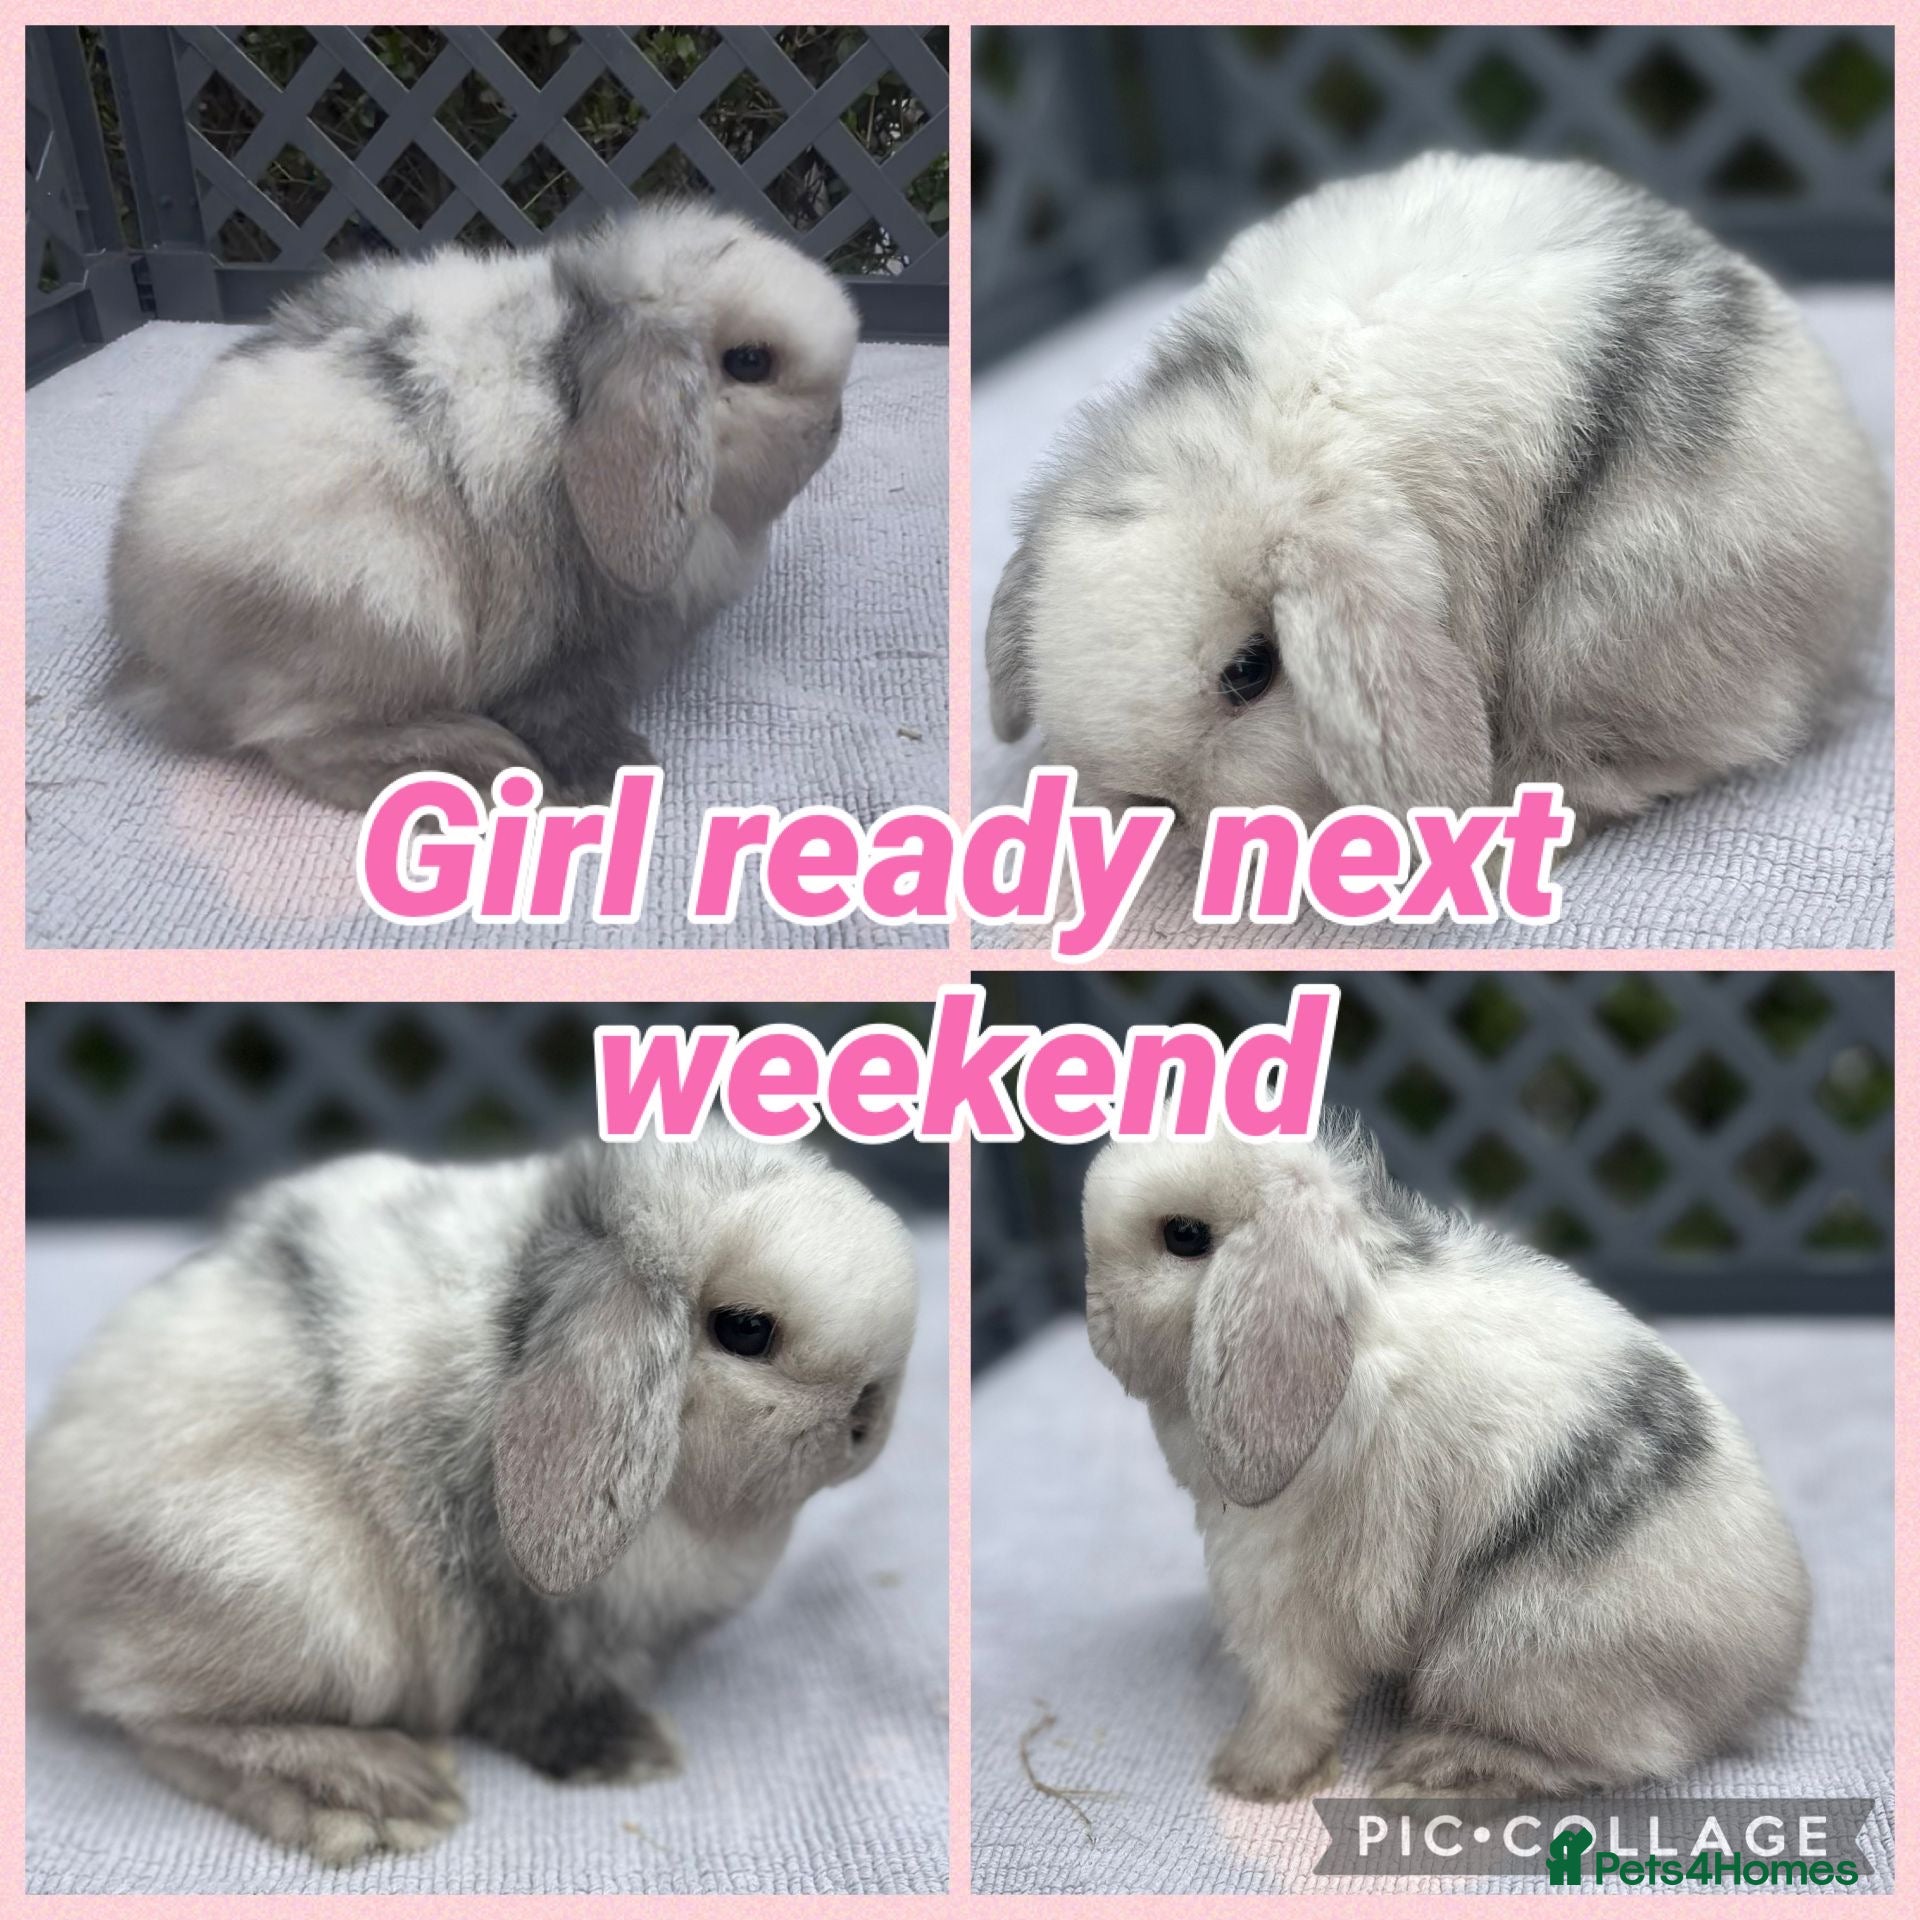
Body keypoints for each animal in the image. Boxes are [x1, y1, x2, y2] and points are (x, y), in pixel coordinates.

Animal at [26, 1128, 916, 1864]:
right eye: (745, 1329)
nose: (867, 1420)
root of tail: (54, 1577)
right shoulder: (538, 1629)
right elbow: (544, 1698)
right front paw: (636, 1755)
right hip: (307, 1607)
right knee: (157, 1722)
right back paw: (377, 1795)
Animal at [108, 200, 858, 811]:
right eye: (752, 362)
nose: (834, 427)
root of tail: (157, 651)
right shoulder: (560, 647)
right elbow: (562, 709)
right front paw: (614, 773)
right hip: (391, 614)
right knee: (295, 740)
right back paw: (479, 762)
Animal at [1080, 1111, 1809, 1801]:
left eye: (1184, 1235)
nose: (1094, 1317)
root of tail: (1764, 1675)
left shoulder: (1277, 1577)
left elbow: (1290, 1693)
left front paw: (1248, 1775)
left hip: (1503, 1654)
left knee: (1626, 1755)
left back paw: (1433, 1768)